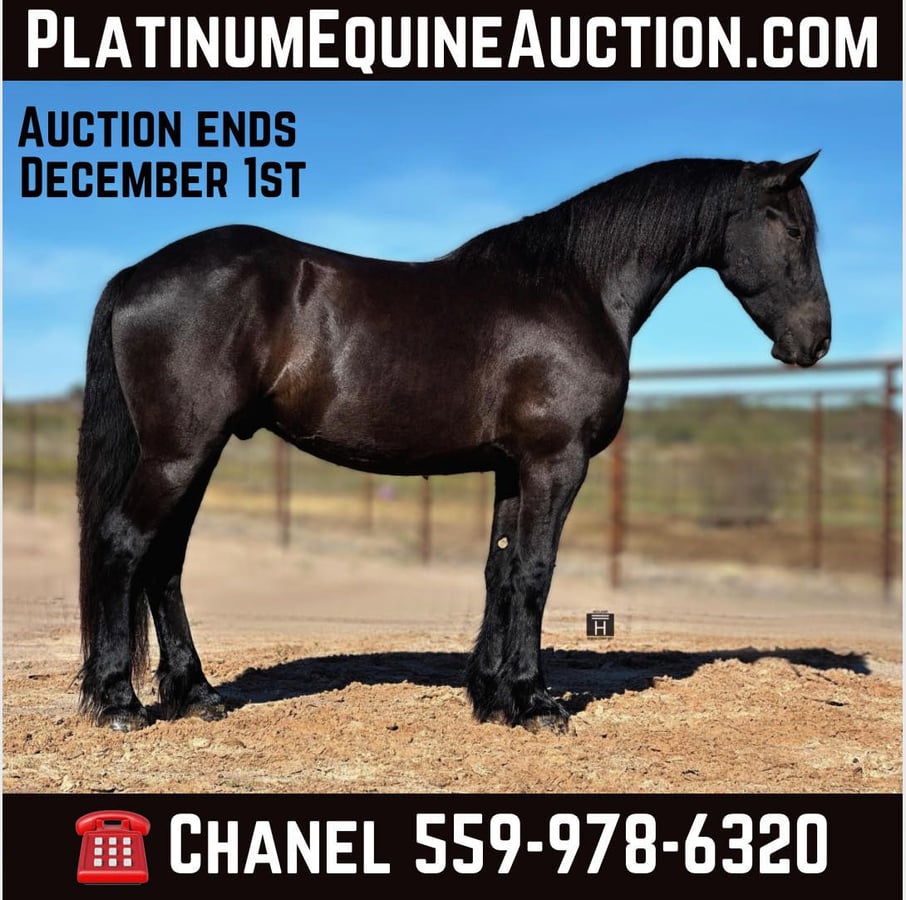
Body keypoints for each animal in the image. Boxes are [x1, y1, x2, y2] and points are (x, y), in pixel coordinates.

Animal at [76, 152, 831, 732]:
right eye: (793, 229)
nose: (816, 341)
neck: (575, 288)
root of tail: (137, 275)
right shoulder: (556, 464)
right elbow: (535, 572)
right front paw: (535, 702)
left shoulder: (514, 469)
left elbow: (501, 571)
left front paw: (493, 696)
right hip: (180, 453)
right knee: (124, 545)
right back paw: (119, 703)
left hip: (195, 454)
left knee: (164, 561)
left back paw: (195, 694)